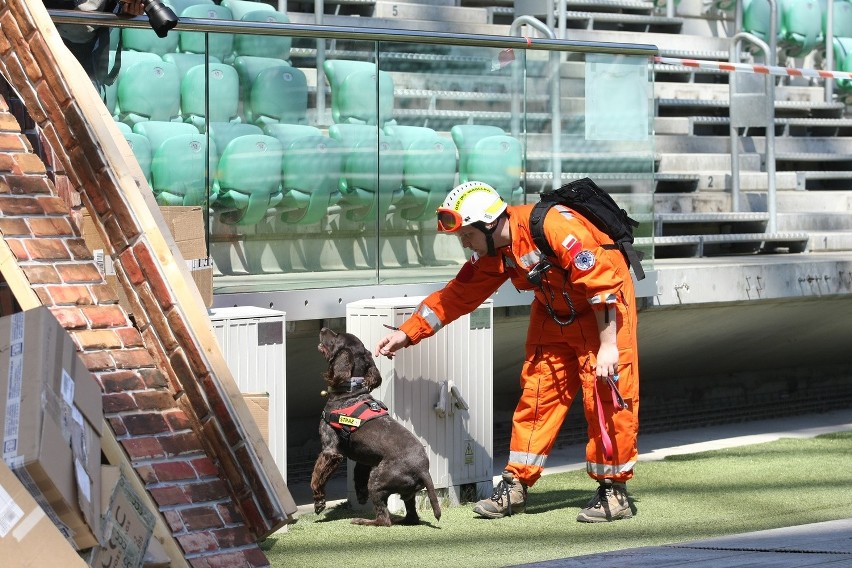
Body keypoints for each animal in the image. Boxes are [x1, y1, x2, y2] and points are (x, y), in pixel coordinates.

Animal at [314, 326, 446, 524]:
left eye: (336, 336)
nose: (323, 328)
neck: (350, 391)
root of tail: (423, 470)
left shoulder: (331, 451)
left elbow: (316, 475)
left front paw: (318, 501)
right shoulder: (364, 456)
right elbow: (358, 474)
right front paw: (360, 496)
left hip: (377, 479)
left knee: (384, 520)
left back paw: (363, 521)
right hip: (404, 491)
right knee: (411, 516)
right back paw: (401, 520)